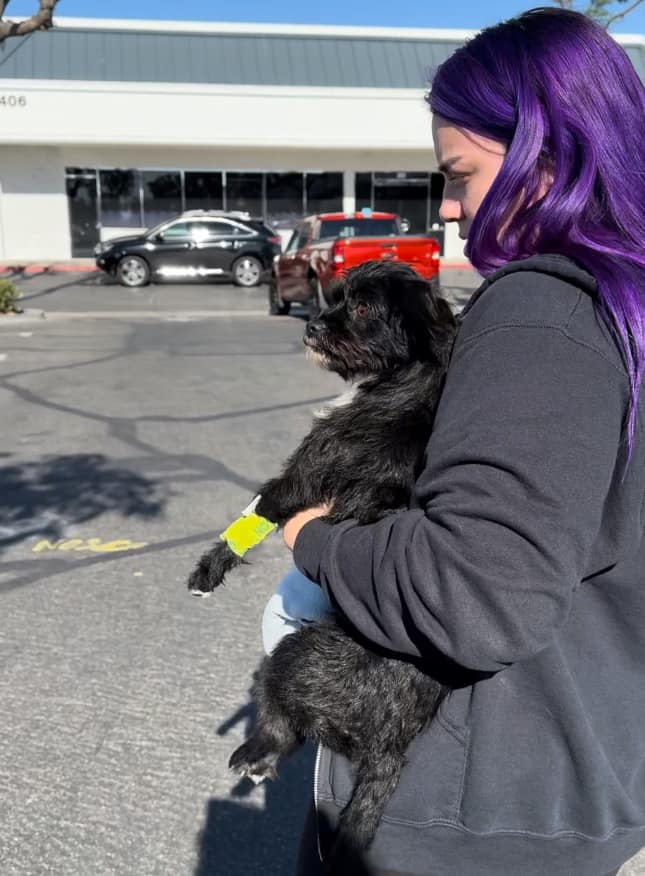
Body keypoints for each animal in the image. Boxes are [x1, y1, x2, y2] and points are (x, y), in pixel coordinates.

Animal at [189, 262, 456, 876]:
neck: (411, 376)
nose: (310, 326)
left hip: (290, 660)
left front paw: (209, 569)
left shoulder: (306, 472)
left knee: (280, 726)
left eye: (361, 308)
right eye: (334, 295)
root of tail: (389, 750)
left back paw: (255, 753)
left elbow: (258, 510)